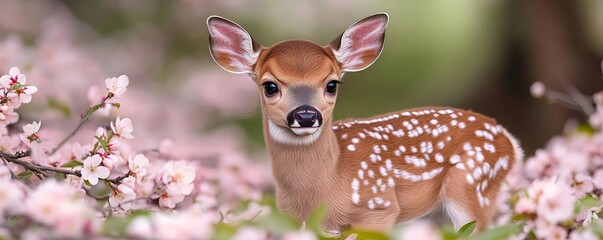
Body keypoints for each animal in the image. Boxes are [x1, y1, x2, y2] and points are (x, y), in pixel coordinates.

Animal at [208, 12, 524, 231]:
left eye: (332, 84)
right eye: (270, 86)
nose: (307, 115)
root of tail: (510, 141)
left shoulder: (379, 206)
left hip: (471, 184)